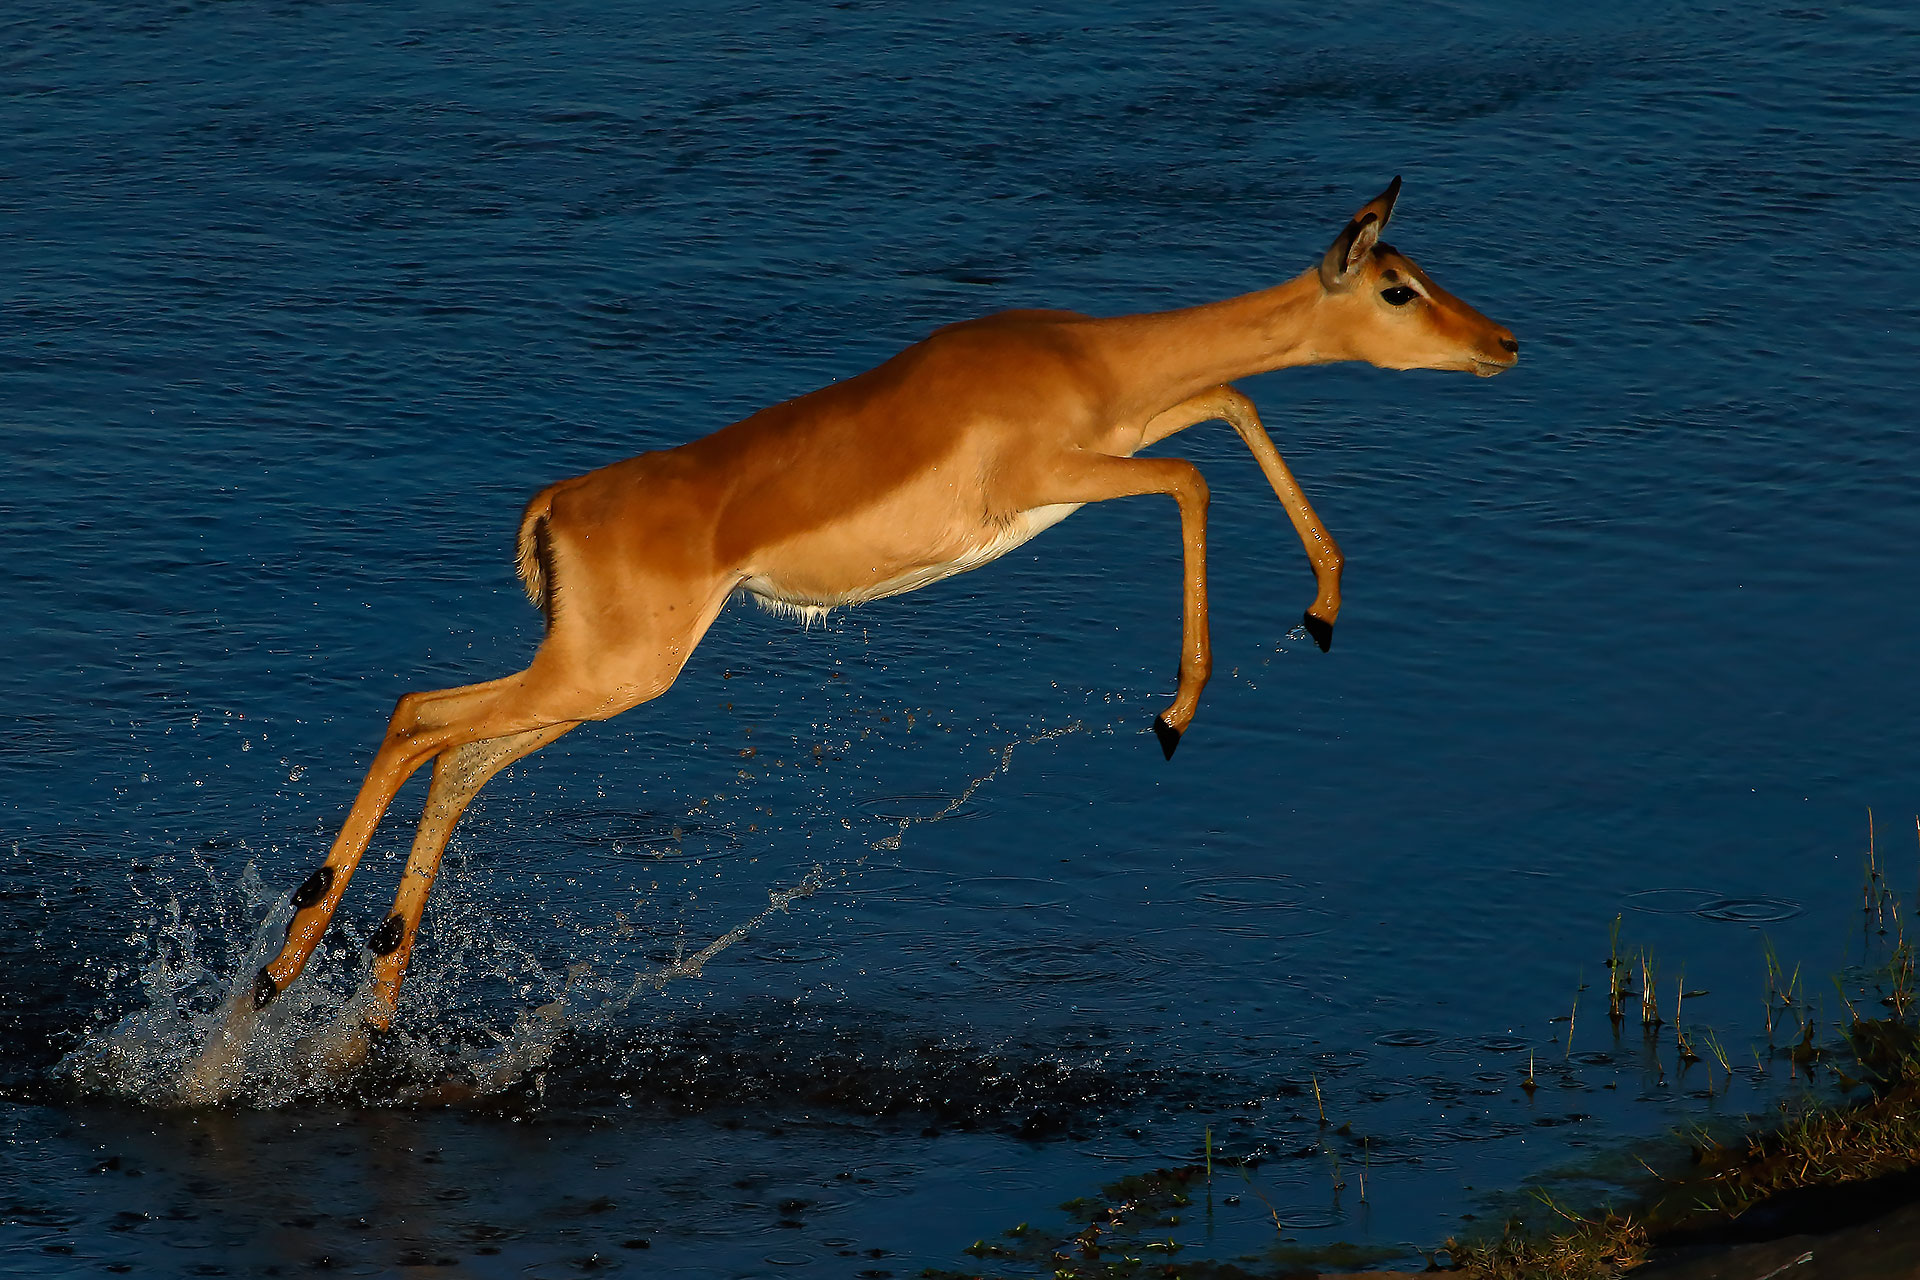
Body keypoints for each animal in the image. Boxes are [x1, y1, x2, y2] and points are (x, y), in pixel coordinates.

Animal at [215, 177, 1516, 1067]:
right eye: (1397, 287)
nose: (1501, 342)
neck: (1080, 356)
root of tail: (559, 505)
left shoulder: (1123, 442)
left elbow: (1232, 403)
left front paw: (1325, 606)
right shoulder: (1066, 474)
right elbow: (1198, 472)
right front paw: (1176, 710)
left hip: (600, 681)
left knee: (457, 759)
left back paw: (353, 1018)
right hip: (606, 672)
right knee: (418, 713)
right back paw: (276, 979)